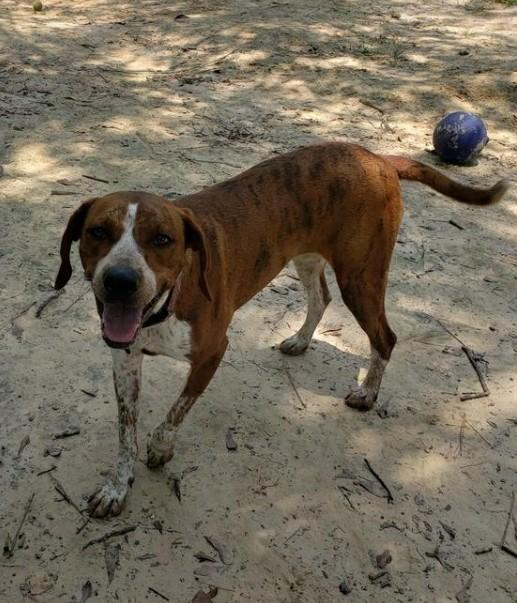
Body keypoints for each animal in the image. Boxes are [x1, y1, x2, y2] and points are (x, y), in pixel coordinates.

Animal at [54, 144, 506, 516]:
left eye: (162, 239)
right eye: (98, 232)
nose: (120, 281)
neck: (166, 303)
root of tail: (376, 157)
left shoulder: (212, 353)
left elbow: (174, 412)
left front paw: (161, 448)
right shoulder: (125, 360)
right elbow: (125, 430)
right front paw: (117, 486)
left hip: (360, 277)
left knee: (384, 337)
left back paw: (367, 394)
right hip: (307, 257)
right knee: (321, 298)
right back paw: (302, 340)